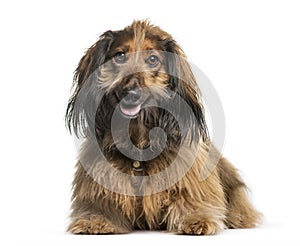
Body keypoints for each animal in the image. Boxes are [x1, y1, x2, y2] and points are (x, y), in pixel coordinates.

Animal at [65, 19, 260, 234]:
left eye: (152, 59)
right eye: (120, 55)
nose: (130, 93)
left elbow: (189, 199)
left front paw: (196, 219)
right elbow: (101, 203)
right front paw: (96, 221)